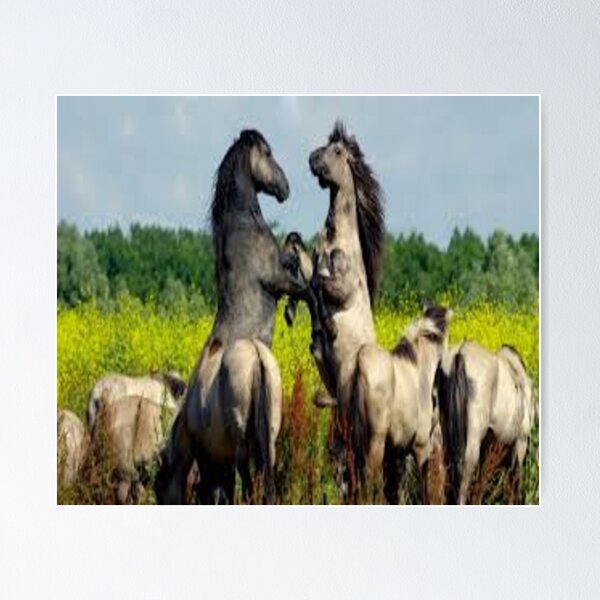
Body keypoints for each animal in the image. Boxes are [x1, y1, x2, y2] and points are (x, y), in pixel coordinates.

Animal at [157, 129, 302, 504]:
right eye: (268, 153)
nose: (285, 187)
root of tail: (257, 359)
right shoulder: (277, 280)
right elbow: (304, 286)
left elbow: (295, 252)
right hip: (246, 445)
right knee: (254, 482)